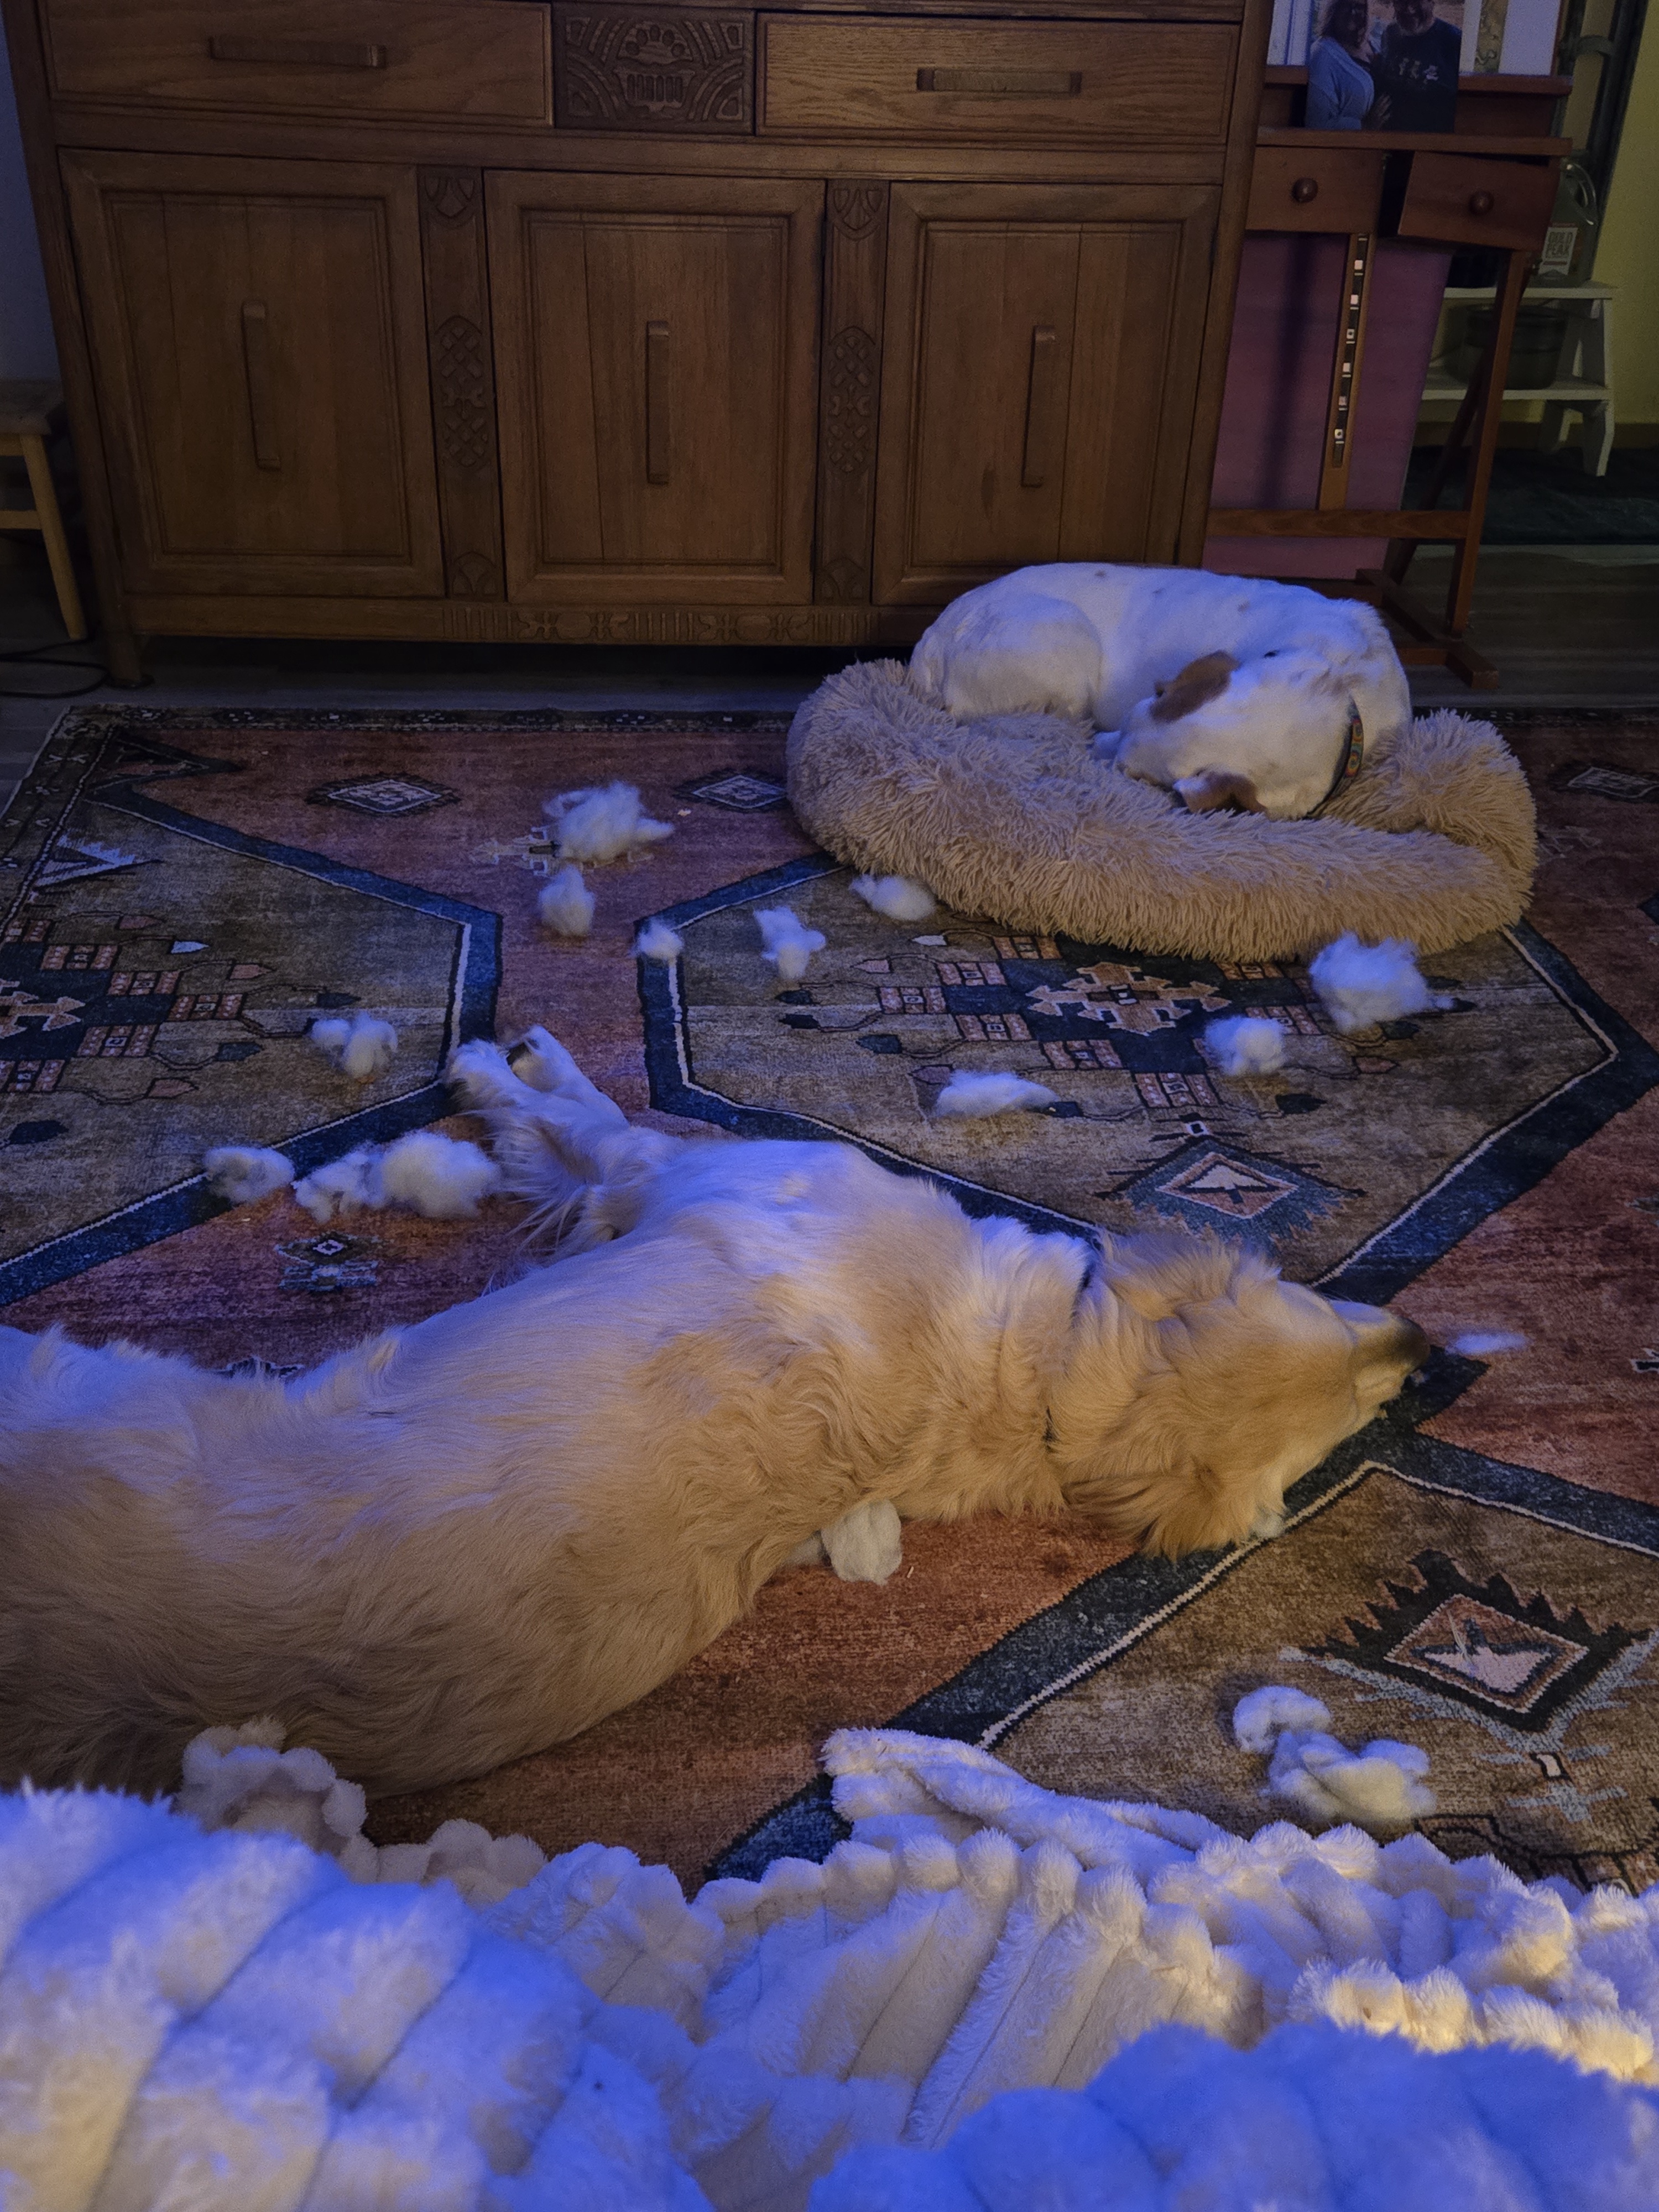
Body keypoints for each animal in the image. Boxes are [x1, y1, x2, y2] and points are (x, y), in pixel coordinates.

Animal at [0, 1031, 1433, 1796]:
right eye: (1339, 1339)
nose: (1422, 1347)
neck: (1023, 1374)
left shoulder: (670, 1170)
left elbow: (583, 1117)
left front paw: (501, 1064)